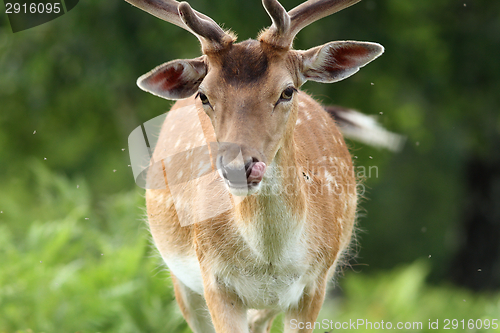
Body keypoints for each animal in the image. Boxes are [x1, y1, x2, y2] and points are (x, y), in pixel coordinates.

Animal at [126, 0, 390, 330]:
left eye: (288, 91)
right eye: (204, 95)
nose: (238, 167)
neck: (268, 261)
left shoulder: (315, 283)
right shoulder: (214, 279)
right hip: (181, 277)